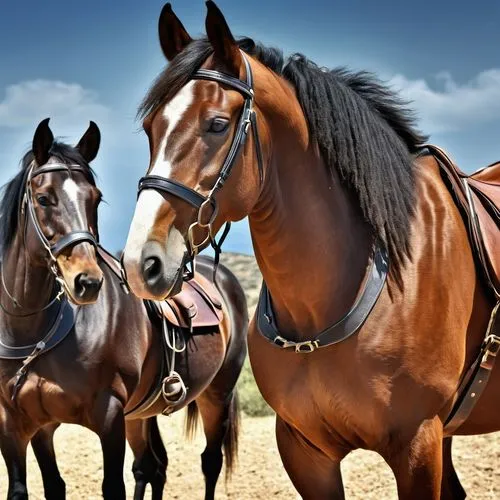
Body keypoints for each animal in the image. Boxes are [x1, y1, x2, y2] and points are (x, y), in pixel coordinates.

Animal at [0, 119, 248, 498]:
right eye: (43, 198)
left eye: (95, 198)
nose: (87, 282)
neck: (34, 334)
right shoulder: (21, 426)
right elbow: (40, 487)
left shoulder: (110, 415)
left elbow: (113, 486)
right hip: (141, 414)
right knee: (153, 466)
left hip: (216, 394)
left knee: (209, 462)